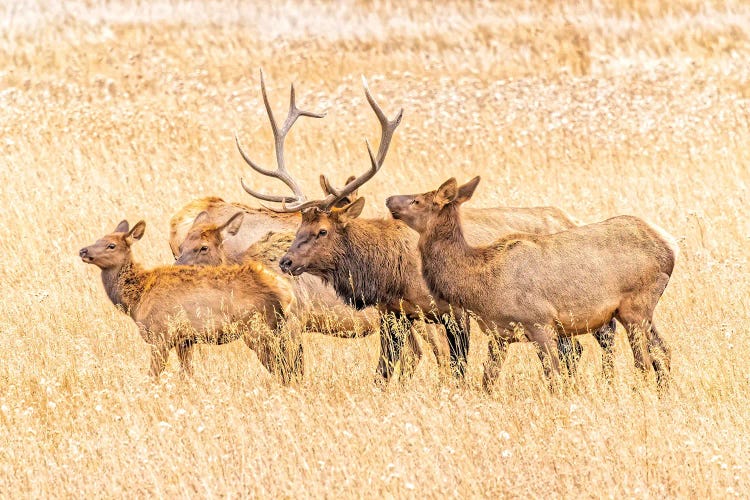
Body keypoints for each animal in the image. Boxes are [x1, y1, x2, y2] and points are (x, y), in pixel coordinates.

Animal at [81, 219, 304, 382]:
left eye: (111, 245)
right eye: (98, 239)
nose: (83, 250)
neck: (137, 299)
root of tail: (286, 292)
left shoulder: (161, 334)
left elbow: (153, 375)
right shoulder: (185, 339)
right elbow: (187, 374)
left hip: (259, 329)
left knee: (283, 368)